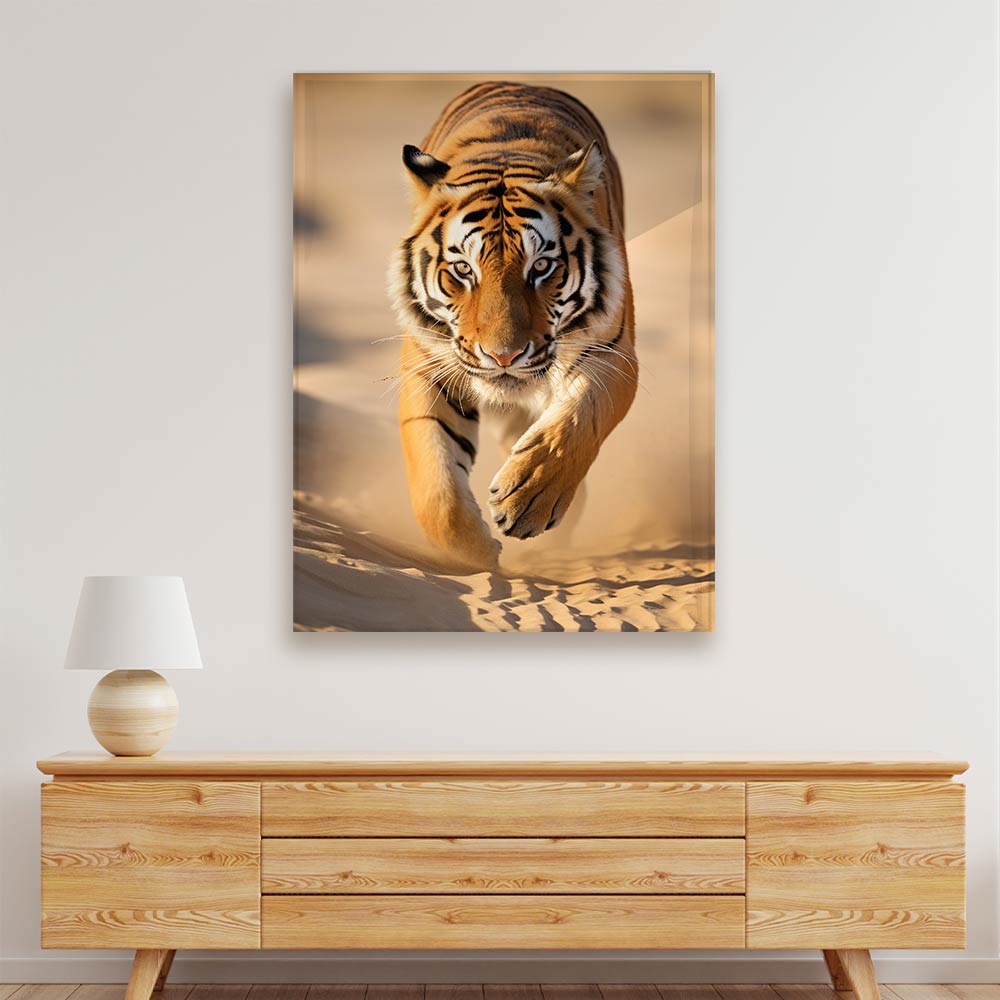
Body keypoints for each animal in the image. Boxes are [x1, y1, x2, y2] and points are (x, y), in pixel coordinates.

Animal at [389, 81, 637, 573]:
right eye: (463, 270)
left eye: (541, 267)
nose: (503, 356)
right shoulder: (428, 366)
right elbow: (436, 487)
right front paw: (478, 552)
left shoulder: (614, 353)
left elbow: (576, 422)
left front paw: (529, 498)